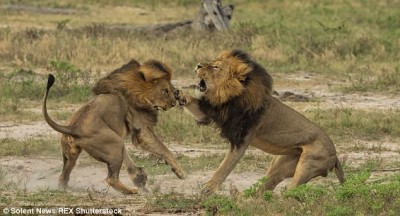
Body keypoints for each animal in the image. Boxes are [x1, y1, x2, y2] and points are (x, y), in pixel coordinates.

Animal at [44, 58, 186, 194]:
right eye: (165, 91)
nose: (174, 103)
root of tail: (73, 128)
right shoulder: (142, 129)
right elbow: (163, 149)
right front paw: (179, 171)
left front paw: (141, 179)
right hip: (116, 145)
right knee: (111, 179)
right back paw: (131, 191)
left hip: (71, 155)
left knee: (63, 177)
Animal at [177, 50, 346, 194]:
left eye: (216, 66)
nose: (198, 65)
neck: (228, 98)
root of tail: (335, 155)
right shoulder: (210, 112)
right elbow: (192, 102)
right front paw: (179, 93)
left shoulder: (242, 140)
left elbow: (225, 166)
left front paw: (209, 187)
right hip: (281, 164)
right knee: (263, 191)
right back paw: (242, 198)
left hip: (308, 164)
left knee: (289, 192)